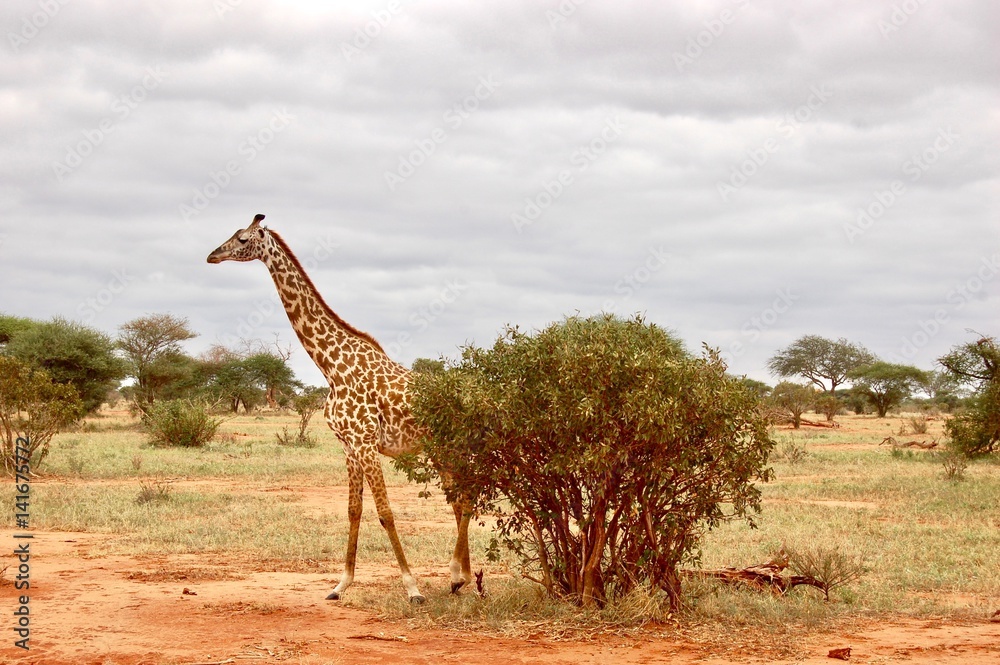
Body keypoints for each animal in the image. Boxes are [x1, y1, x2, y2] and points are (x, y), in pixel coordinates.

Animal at [207, 214, 472, 603]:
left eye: (242, 239)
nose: (212, 255)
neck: (330, 366)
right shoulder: (348, 446)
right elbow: (354, 511)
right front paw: (340, 584)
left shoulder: (365, 443)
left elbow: (386, 513)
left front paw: (412, 588)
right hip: (441, 450)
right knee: (459, 501)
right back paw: (464, 577)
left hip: (454, 447)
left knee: (465, 500)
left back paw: (457, 574)